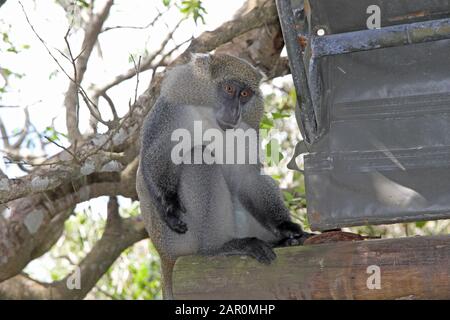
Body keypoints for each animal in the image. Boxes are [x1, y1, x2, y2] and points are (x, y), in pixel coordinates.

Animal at [135, 52, 308, 298]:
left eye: (244, 94)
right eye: (228, 88)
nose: (235, 112)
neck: (211, 117)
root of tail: (164, 256)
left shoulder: (246, 128)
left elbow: (246, 179)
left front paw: (286, 226)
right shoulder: (171, 109)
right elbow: (153, 157)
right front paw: (169, 205)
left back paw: (282, 241)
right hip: (179, 242)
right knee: (199, 157)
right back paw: (218, 247)